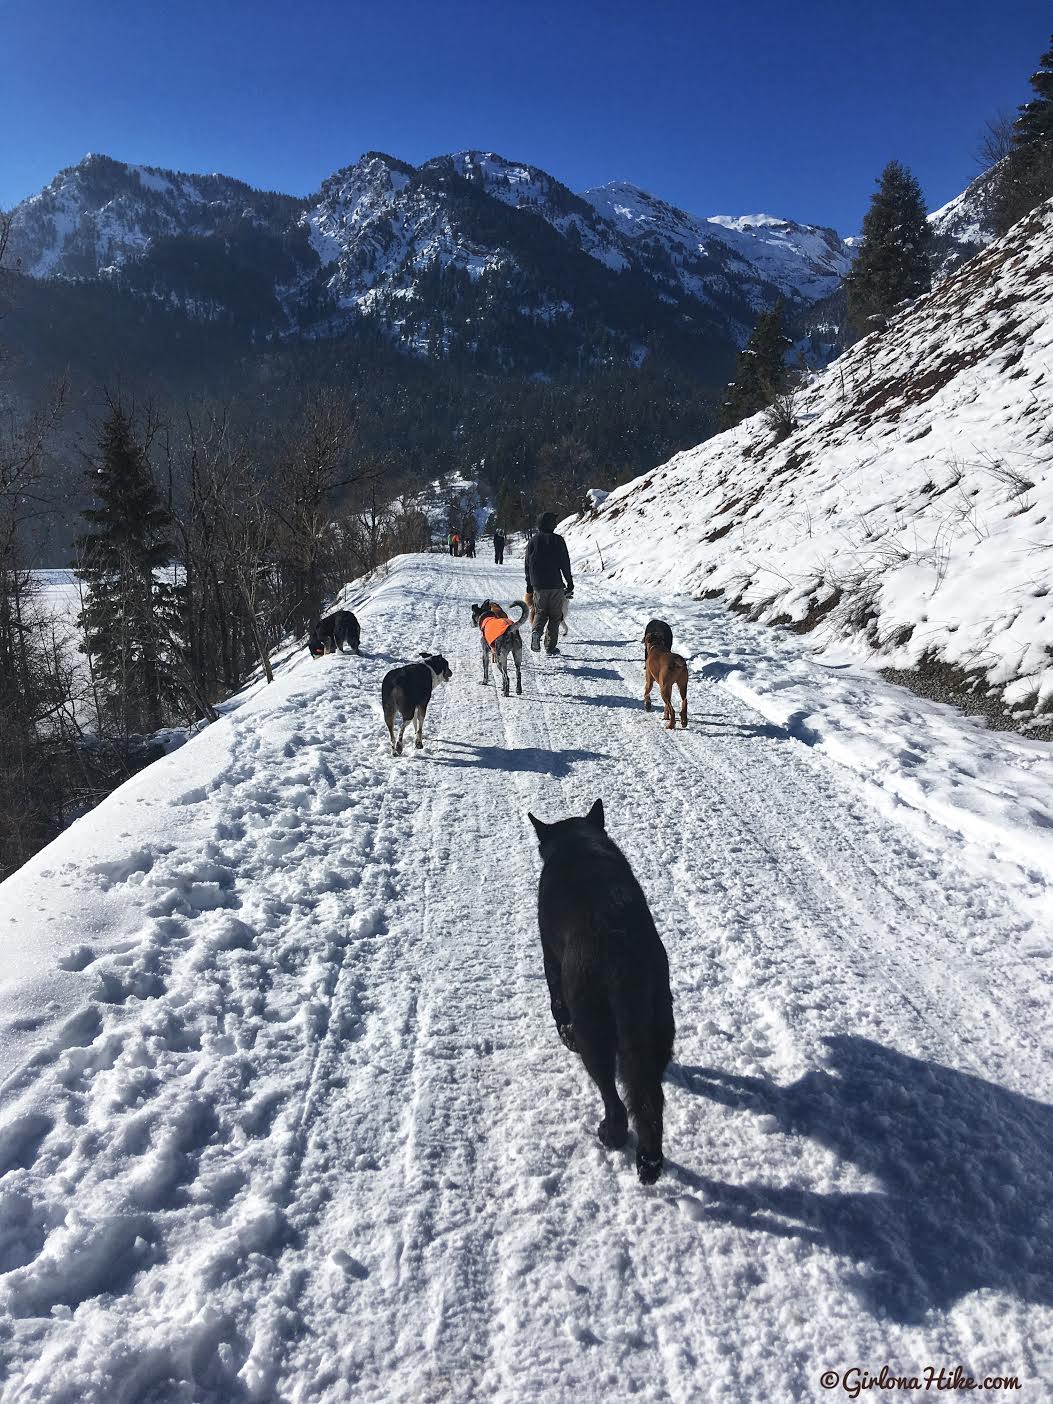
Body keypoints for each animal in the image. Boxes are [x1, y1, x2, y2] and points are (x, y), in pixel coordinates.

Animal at [527, 803, 676, 1184]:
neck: (577, 841)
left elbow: (556, 1004)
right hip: (658, 1020)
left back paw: (612, 1134)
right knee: (649, 1095)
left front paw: (564, 1035)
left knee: (614, 1095)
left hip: (594, 1026)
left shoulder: (550, 958)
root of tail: (619, 949)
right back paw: (649, 1160)